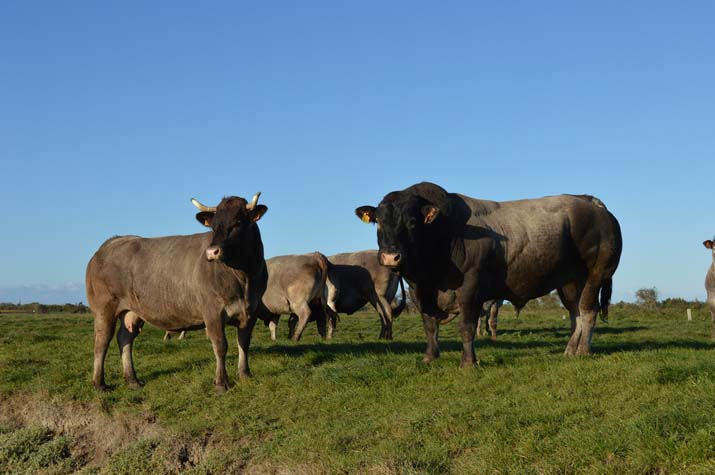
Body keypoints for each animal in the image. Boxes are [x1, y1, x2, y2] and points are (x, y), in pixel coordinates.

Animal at [86, 193, 268, 393]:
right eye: (213, 227)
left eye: (238, 222)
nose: (212, 252)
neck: (245, 279)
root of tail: (111, 242)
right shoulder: (212, 311)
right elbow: (220, 345)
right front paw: (221, 383)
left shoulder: (252, 310)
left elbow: (244, 342)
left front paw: (245, 374)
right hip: (104, 308)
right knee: (101, 341)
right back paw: (99, 383)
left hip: (133, 311)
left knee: (125, 339)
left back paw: (133, 380)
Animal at [355, 182, 622, 367]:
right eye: (378, 222)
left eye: (412, 222)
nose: (390, 257)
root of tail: (593, 203)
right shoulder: (418, 290)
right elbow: (429, 325)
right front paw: (429, 357)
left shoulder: (469, 288)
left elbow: (467, 326)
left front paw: (468, 362)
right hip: (569, 283)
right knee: (576, 314)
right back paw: (570, 350)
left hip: (596, 274)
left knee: (588, 312)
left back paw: (583, 351)